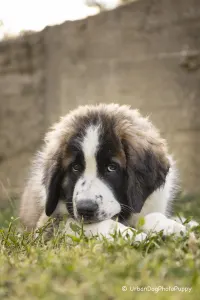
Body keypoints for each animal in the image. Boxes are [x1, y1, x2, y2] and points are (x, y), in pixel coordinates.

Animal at [19, 104, 188, 240]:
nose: (85, 208)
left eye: (111, 167)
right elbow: (89, 224)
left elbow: (151, 215)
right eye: (75, 167)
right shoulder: (48, 224)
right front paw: (132, 235)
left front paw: (170, 227)